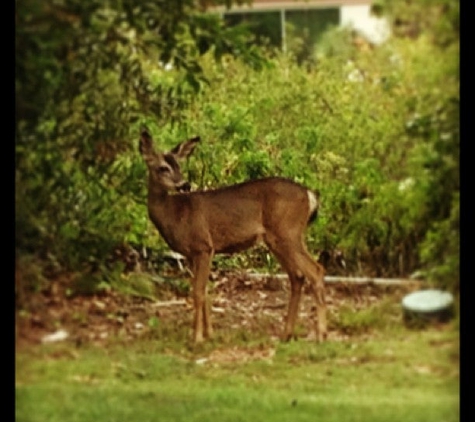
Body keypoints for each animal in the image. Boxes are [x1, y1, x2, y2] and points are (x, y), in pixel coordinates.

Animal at [139, 128, 328, 342]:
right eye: (163, 168)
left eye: (179, 165)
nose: (185, 184)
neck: (175, 214)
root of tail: (309, 195)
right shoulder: (191, 254)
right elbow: (205, 291)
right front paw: (209, 334)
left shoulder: (203, 246)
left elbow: (198, 292)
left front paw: (197, 338)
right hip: (277, 239)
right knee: (297, 276)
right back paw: (287, 333)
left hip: (288, 232)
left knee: (315, 270)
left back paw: (321, 334)